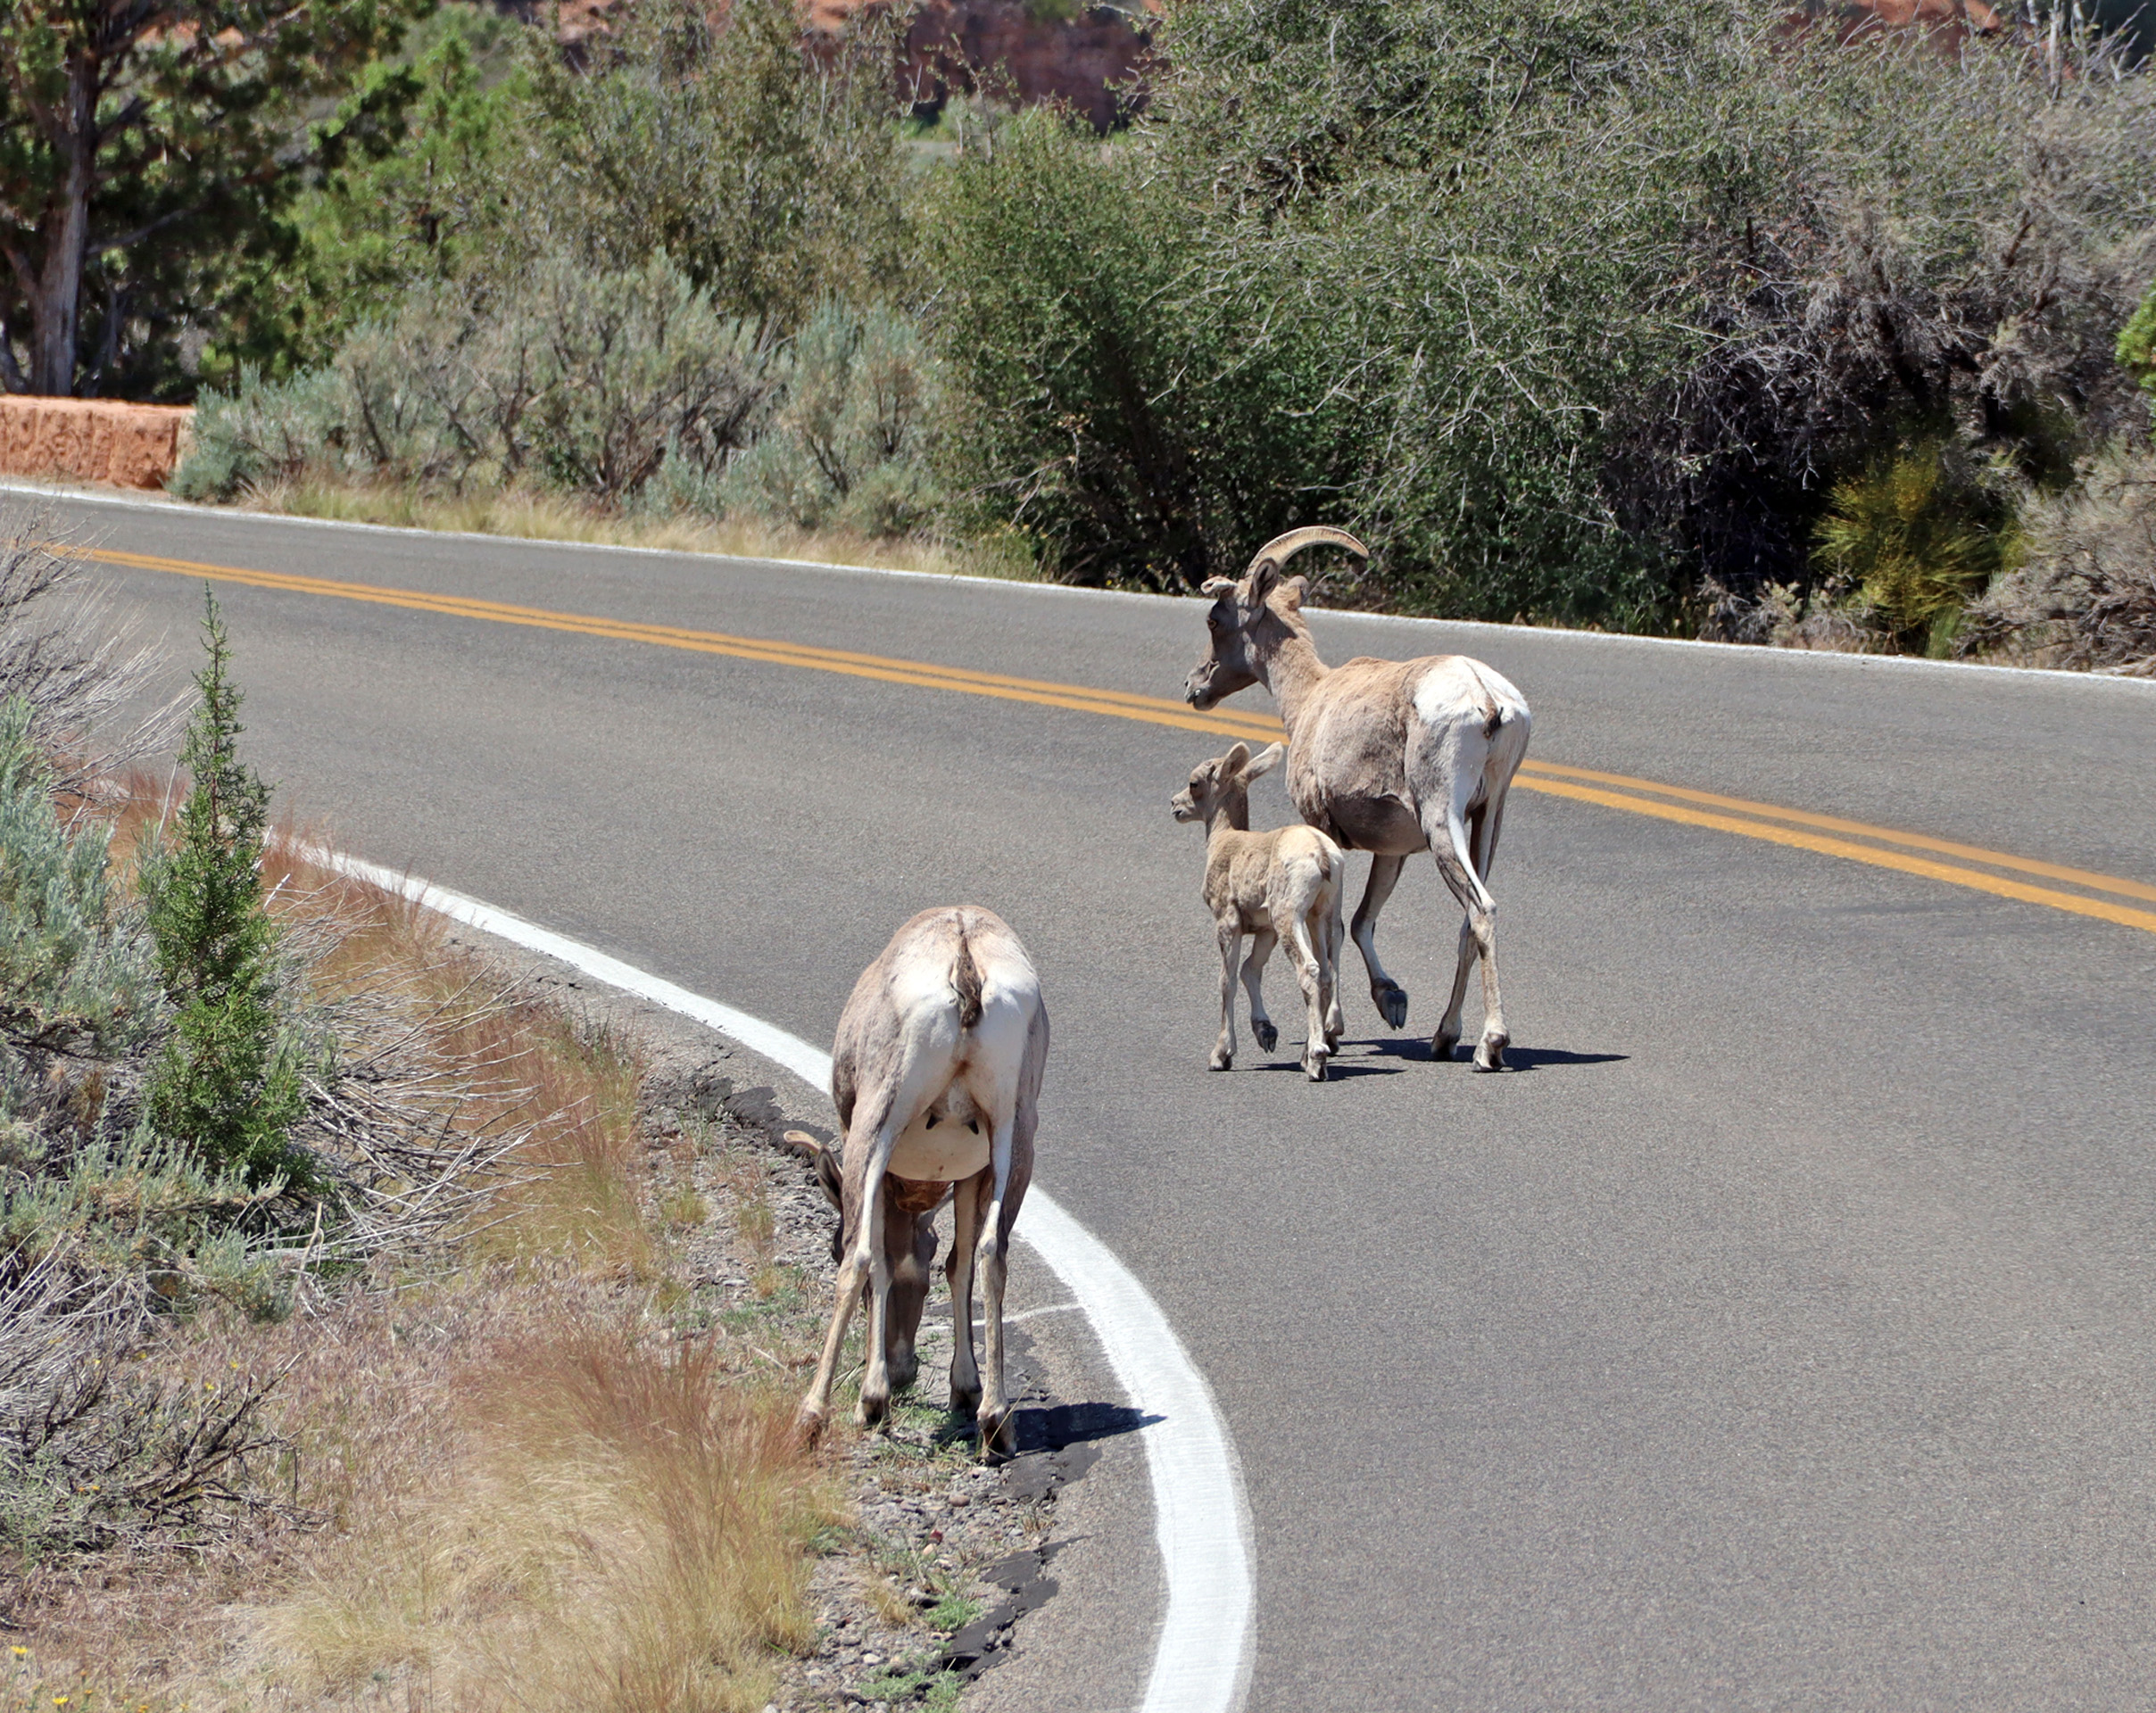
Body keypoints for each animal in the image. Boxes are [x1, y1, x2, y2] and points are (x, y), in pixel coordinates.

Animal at [801, 905, 1052, 1456]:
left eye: (825, 1245)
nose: (904, 1373)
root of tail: (965, 962)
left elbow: (881, 1260)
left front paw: (873, 1400)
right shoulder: (971, 1173)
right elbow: (956, 1265)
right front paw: (964, 1390)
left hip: (877, 1121)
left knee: (862, 1256)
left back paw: (814, 1415)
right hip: (1014, 1131)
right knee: (992, 1253)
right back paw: (995, 1422)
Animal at [1173, 741, 1336, 1086]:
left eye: (1194, 783)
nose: (1175, 805)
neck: (1225, 841)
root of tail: (1321, 853)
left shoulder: (1228, 922)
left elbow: (1228, 979)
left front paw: (1221, 1055)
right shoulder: (1264, 930)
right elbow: (1250, 970)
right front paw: (1266, 1033)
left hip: (1290, 917)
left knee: (1310, 969)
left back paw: (1316, 1059)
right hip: (1321, 915)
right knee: (1328, 972)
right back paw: (1309, 1056)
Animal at [1190, 532, 1526, 1072]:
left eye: (1214, 620)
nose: (1194, 687)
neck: (1310, 699)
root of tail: (1489, 700)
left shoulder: (1324, 829)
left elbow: (1332, 929)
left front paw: (1330, 1031)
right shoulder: (1392, 849)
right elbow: (1364, 919)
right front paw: (1391, 1001)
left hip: (1443, 820)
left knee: (1482, 909)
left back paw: (1489, 1045)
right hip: (1488, 816)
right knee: (1467, 922)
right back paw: (1444, 1037)